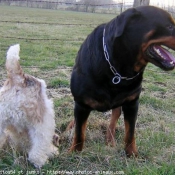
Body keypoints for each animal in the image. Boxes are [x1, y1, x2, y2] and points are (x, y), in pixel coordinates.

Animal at [69, 5, 175, 157]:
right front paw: (74, 153)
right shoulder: (81, 103)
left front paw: (132, 154)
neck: (119, 71)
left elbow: (130, 132)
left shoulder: (132, 103)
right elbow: (79, 133)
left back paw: (110, 139)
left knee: (114, 117)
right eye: (169, 26)